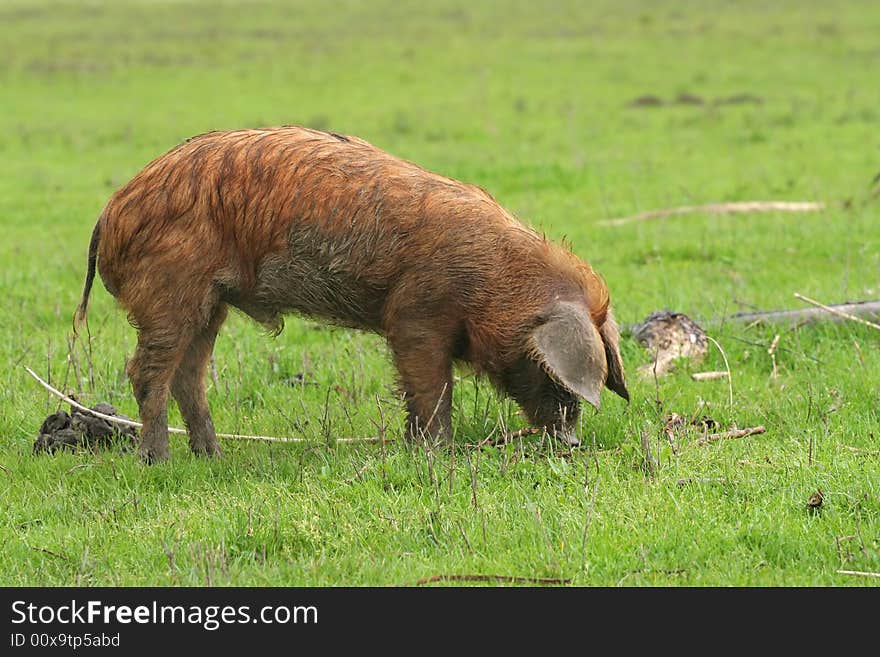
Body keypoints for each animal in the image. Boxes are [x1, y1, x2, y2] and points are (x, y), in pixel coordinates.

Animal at [74, 127, 624, 462]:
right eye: (551, 371)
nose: (572, 441)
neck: (493, 283)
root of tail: (111, 210)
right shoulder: (416, 317)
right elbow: (431, 388)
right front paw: (439, 453)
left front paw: (416, 447)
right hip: (170, 291)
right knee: (146, 372)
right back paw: (158, 461)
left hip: (212, 302)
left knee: (190, 375)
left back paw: (213, 455)